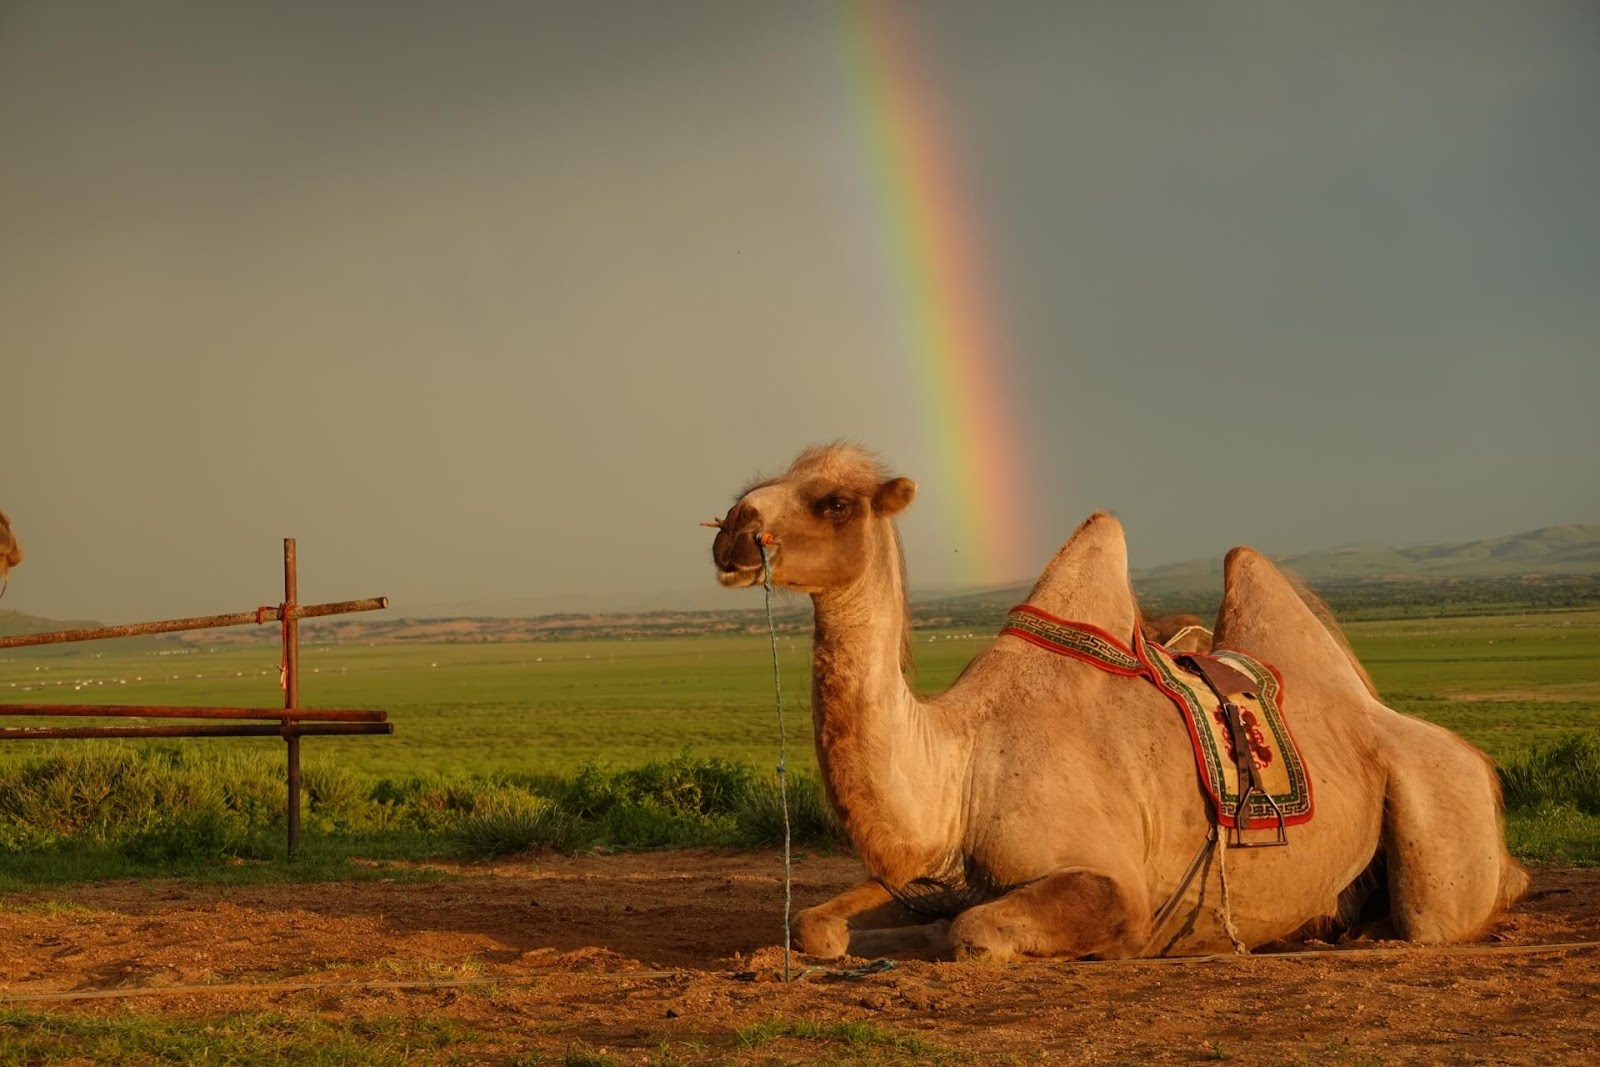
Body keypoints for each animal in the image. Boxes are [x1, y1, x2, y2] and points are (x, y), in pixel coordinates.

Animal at [710, 447, 1523, 966]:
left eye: (834, 501)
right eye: (763, 482)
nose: (732, 530)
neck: (962, 766)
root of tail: (1475, 759)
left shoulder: (1111, 884)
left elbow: (974, 930)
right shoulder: (930, 878)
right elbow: (814, 925)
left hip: (1439, 815)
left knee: (1446, 912)